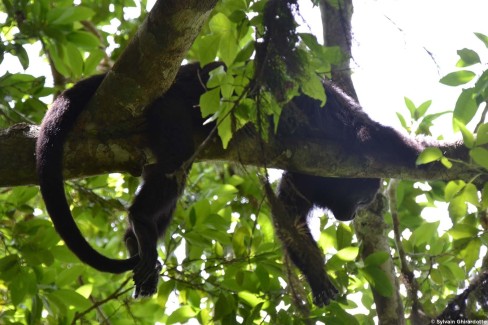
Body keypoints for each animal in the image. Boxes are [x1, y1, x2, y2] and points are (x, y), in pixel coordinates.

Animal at [36, 61, 422, 304]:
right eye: (361, 199)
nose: (350, 215)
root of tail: (179, 73)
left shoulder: (303, 176)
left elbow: (290, 217)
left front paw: (316, 276)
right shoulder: (349, 135)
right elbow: (384, 139)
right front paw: (428, 156)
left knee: (172, 177)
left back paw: (136, 242)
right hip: (173, 111)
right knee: (174, 169)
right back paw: (141, 222)